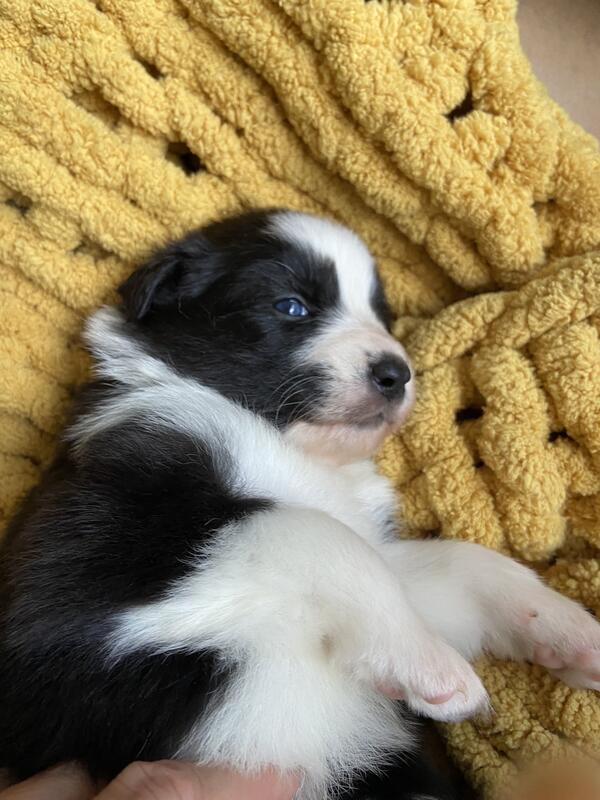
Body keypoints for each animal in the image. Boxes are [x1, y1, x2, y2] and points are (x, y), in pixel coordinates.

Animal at [1, 209, 599, 800]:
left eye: (382, 315)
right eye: (292, 306)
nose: (396, 373)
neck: (293, 449)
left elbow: (456, 561)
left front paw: (569, 631)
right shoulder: (80, 578)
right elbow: (305, 527)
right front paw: (429, 663)